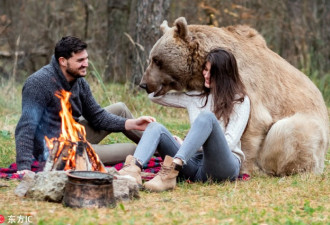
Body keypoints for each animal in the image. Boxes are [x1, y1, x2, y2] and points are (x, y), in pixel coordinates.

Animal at [141, 16, 328, 177]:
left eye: (157, 60)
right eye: (151, 58)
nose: (144, 84)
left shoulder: (247, 85)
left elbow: (252, 126)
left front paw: (244, 169)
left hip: (309, 128)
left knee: (287, 132)